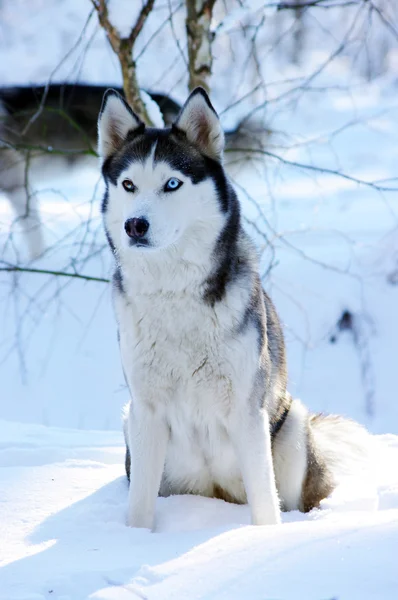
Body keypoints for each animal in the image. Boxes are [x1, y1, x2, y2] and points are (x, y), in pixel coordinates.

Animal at [97, 86, 370, 528]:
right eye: (128, 184)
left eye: (172, 183)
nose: (134, 225)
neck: (174, 291)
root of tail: (217, 493)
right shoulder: (147, 411)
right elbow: (138, 507)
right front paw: (135, 538)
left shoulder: (246, 412)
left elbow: (265, 506)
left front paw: (263, 540)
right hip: (134, 431)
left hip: (293, 425)